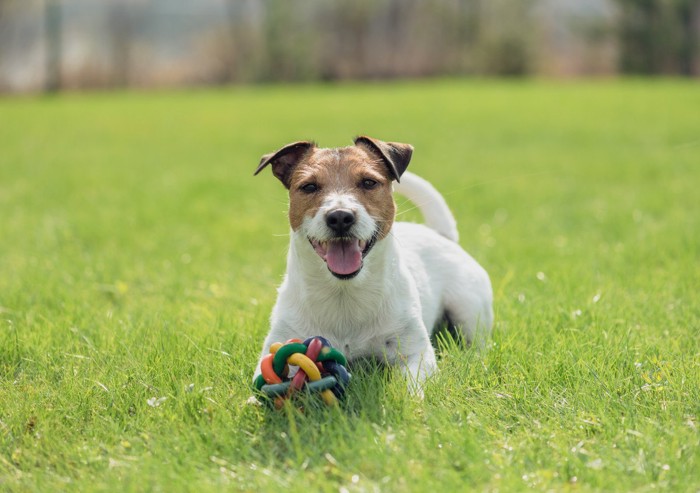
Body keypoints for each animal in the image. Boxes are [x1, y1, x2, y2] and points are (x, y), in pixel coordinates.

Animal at [252, 135, 492, 392]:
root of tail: (439, 234)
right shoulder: (279, 342)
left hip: (468, 309)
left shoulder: (415, 352)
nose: (340, 216)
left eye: (368, 182)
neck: (344, 294)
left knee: (476, 341)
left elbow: (411, 383)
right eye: (309, 187)